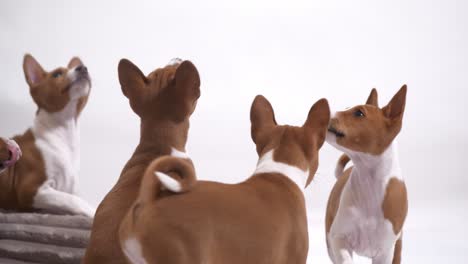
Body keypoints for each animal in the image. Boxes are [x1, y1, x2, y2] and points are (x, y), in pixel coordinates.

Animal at [0, 54, 94, 218]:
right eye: (57, 74)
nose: (83, 67)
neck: (63, 134)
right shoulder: (31, 190)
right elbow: (73, 200)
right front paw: (94, 212)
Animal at [324, 85, 408, 262]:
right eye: (347, 108)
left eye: (359, 113)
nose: (325, 110)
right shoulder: (338, 238)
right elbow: (345, 259)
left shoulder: (384, 252)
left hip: (398, 246)